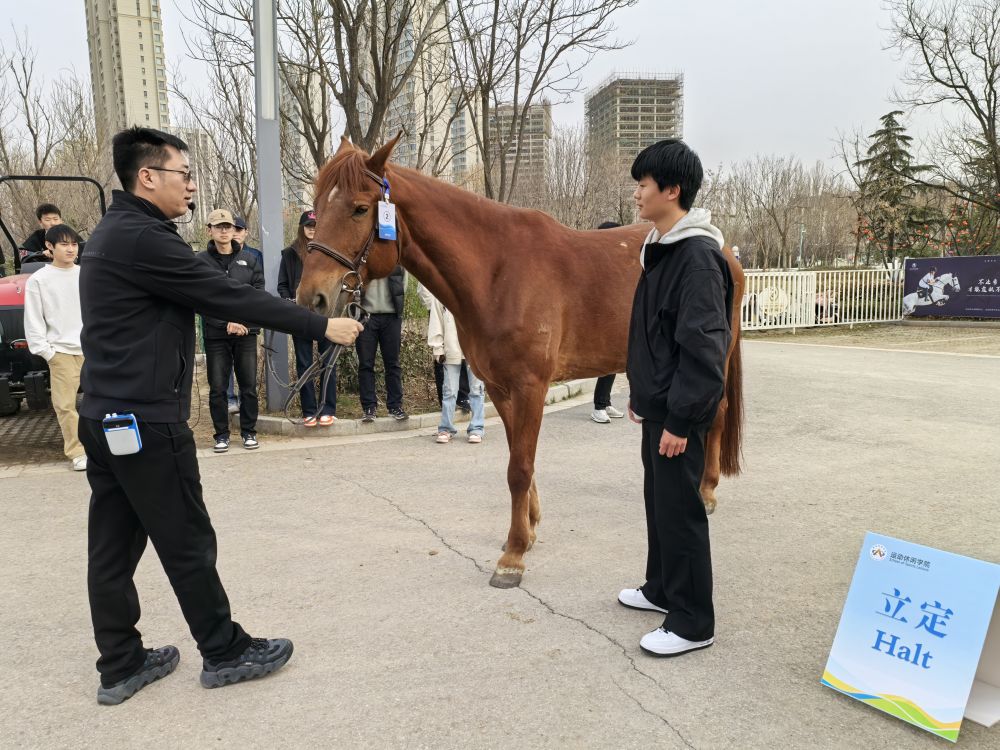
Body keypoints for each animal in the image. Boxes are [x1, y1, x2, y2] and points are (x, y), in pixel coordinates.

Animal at [296, 135, 745, 589]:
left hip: (716, 357)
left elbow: (520, 467)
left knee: (718, 413)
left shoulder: (531, 386)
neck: (499, 271)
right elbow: (518, 459)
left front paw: (512, 557)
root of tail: (727, 251)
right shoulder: (500, 387)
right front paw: (527, 531)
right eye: (318, 204)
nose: (311, 297)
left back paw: (706, 492)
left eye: (360, 208)